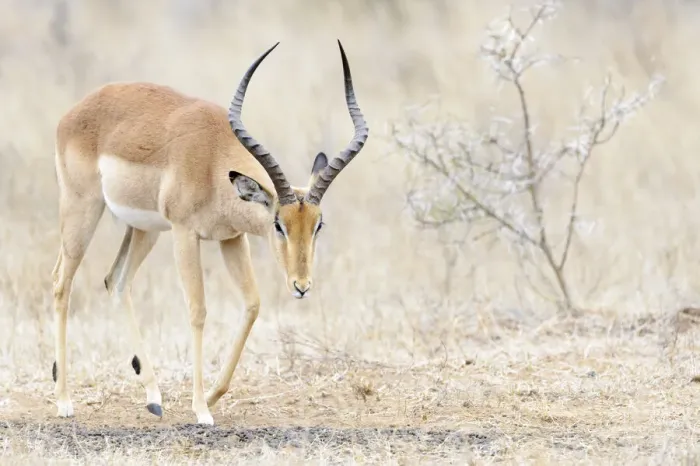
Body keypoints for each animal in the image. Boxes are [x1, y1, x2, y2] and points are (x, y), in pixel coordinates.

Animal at [51, 41, 368, 425]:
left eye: (318, 225)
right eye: (278, 224)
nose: (302, 286)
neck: (212, 161)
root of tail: (75, 112)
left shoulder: (231, 239)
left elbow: (253, 304)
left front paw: (215, 395)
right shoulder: (185, 234)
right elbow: (198, 310)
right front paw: (201, 409)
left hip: (144, 229)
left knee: (117, 281)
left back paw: (153, 398)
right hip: (84, 208)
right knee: (61, 283)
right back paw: (64, 401)